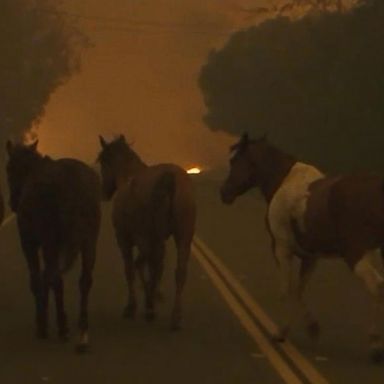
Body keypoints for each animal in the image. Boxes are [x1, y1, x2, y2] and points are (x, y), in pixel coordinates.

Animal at [6, 140, 101, 352]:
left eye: (8, 168)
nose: (13, 202)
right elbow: (45, 277)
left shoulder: (31, 243)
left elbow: (37, 279)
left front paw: (41, 324)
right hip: (89, 240)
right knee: (85, 279)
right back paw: (83, 325)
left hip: (51, 241)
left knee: (56, 278)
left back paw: (62, 327)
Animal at [97, 135, 196, 330]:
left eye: (103, 162)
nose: (103, 191)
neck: (127, 176)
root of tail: (171, 179)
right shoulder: (148, 240)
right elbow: (143, 265)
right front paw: (152, 295)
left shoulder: (126, 239)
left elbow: (131, 268)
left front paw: (133, 305)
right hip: (183, 237)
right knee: (178, 272)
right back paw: (175, 316)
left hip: (153, 237)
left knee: (155, 265)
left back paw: (151, 307)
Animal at [220, 134, 384, 364]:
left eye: (235, 160)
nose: (224, 193)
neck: (283, 180)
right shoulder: (310, 257)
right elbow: (299, 290)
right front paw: (312, 328)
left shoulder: (281, 249)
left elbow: (286, 289)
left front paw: (280, 332)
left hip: (357, 254)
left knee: (376, 286)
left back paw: (375, 344)